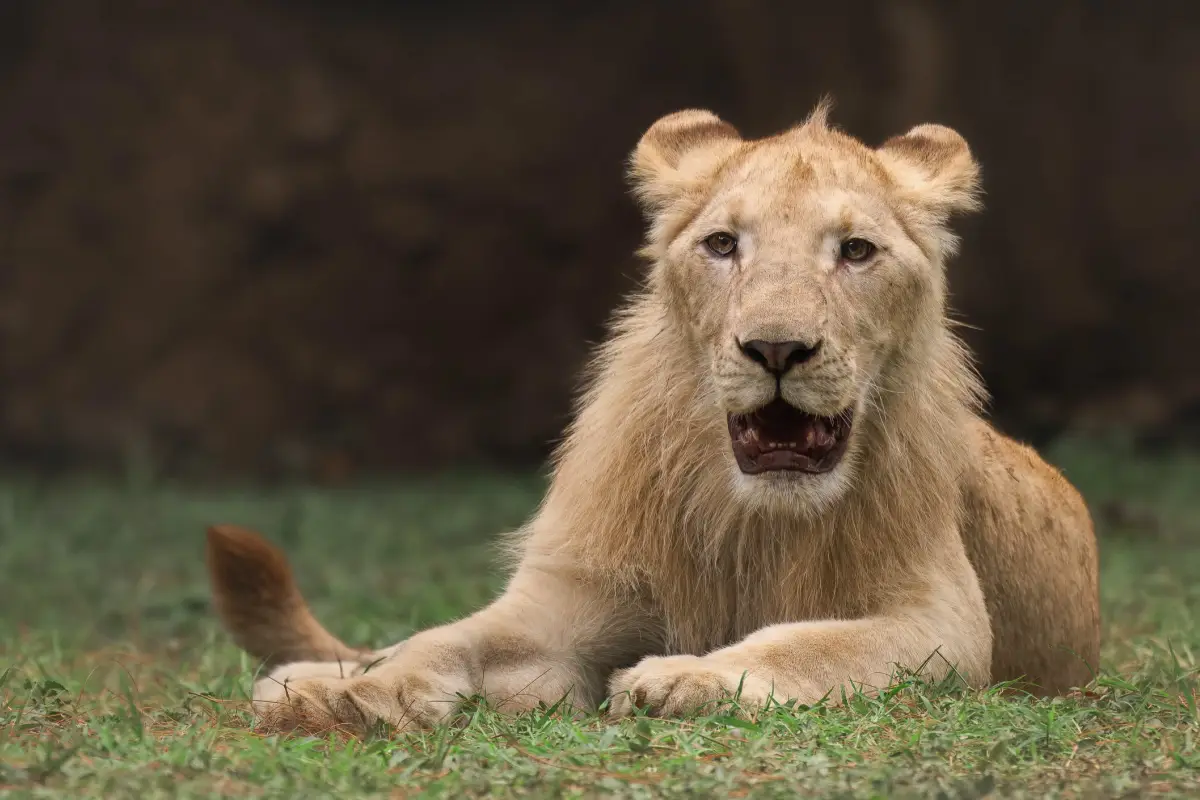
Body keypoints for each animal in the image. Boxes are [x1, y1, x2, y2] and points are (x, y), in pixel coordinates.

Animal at [205, 102, 1100, 733]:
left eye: (855, 251)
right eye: (723, 244)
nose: (777, 348)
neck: (754, 518)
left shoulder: (942, 621)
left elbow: (813, 640)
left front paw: (690, 677)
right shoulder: (568, 603)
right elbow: (447, 639)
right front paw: (360, 698)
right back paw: (312, 679)